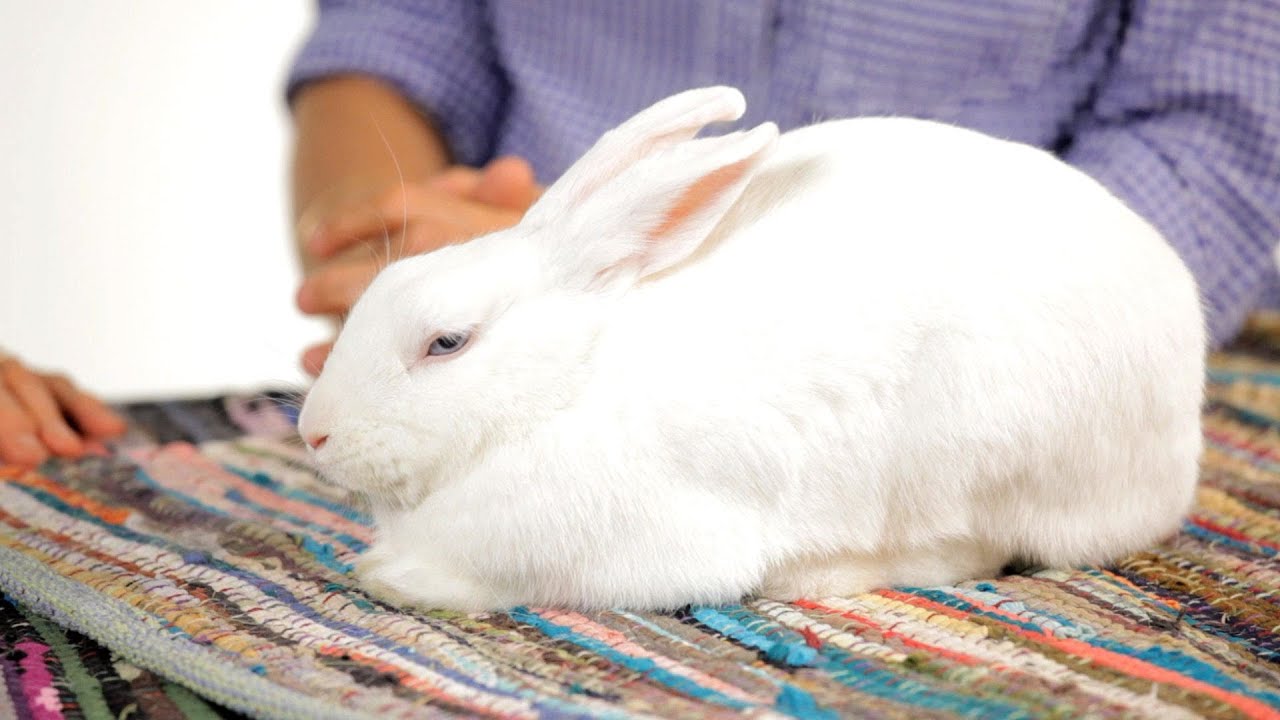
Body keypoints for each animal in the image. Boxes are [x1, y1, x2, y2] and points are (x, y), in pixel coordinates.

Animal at [298, 86, 1205, 612]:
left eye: (445, 343)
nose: (313, 433)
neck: (567, 385)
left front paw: (394, 579)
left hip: (978, 455)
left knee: (967, 547)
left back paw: (818, 575)